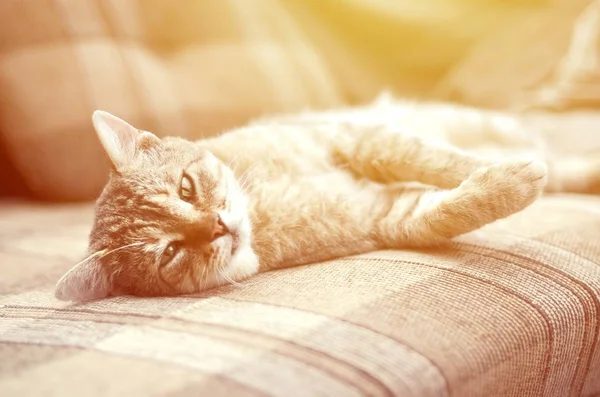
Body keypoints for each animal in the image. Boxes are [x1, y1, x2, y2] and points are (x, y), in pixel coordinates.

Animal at [55, 97, 600, 302]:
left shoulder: (356, 139)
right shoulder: (389, 216)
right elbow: (450, 208)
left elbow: (441, 162)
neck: (265, 207)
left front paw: (491, 167)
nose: (217, 227)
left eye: (186, 188)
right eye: (169, 253)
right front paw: (511, 181)